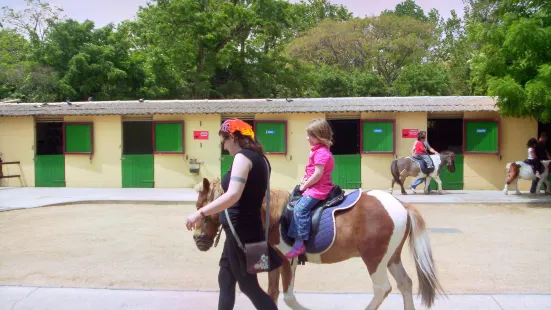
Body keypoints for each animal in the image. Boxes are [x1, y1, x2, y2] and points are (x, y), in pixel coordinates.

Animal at [192, 177, 446, 310]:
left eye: (201, 207)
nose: (198, 239)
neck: (272, 216)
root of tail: (401, 205)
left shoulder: (289, 261)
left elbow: (289, 297)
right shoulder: (274, 261)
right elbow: (272, 293)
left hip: (374, 259)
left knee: (383, 288)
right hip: (391, 258)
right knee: (405, 284)